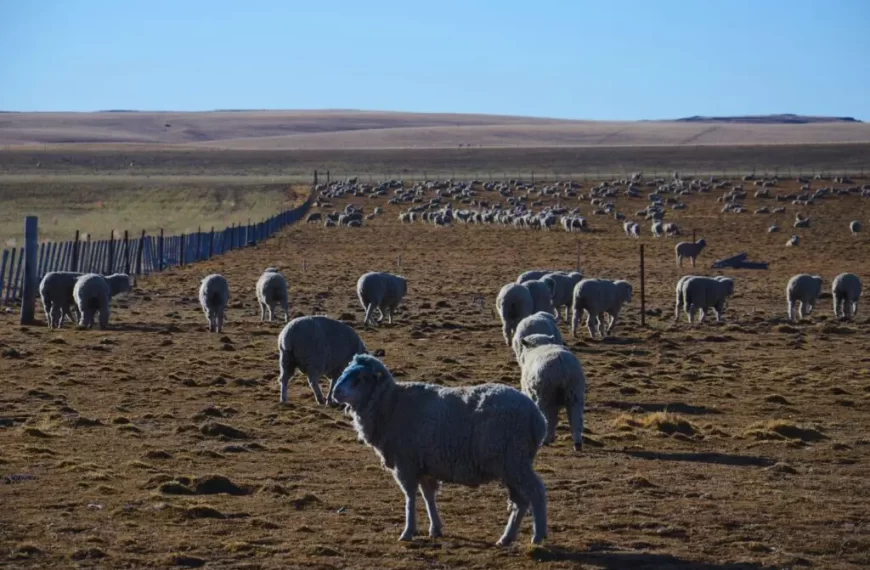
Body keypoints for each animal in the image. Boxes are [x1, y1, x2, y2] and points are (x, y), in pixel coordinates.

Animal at [330, 352, 548, 544]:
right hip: (511, 463)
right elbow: (428, 496)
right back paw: (506, 538)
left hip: (513, 459)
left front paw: (408, 531)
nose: (336, 392)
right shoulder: (424, 465)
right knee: (521, 501)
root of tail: (537, 418)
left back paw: (538, 535)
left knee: (535, 492)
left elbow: (410, 497)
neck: (391, 405)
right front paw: (435, 528)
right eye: (345, 372)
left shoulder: (406, 463)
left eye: (361, 378)